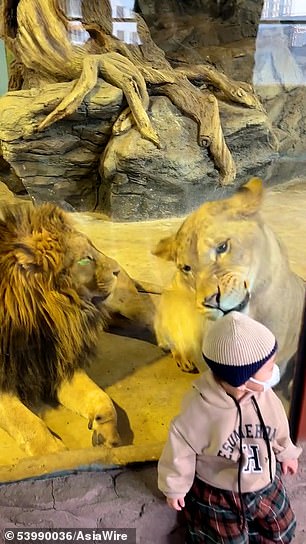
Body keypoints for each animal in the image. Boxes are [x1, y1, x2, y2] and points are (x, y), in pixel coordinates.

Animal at [0, 203, 121, 454]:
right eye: (85, 260)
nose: (119, 270)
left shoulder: (57, 363)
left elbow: (102, 397)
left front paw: (106, 433)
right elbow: (28, 423)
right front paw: (56, 453)